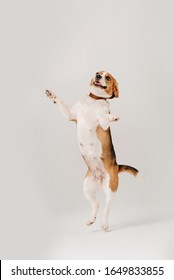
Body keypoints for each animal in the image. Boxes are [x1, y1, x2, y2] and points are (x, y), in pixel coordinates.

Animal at [45, 71, 138, 231]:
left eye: (108, 77)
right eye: (98, 72)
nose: (97, 76)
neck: (94, 101)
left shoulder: (103, 123)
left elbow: (105, 117)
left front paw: (113, 116)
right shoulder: (71, 114)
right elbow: (62, 103)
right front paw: (52, 95)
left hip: (110, 187)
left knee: (106, 207)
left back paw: (104, 223)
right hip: (87, 187)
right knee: (97, 204)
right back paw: (91, 219)